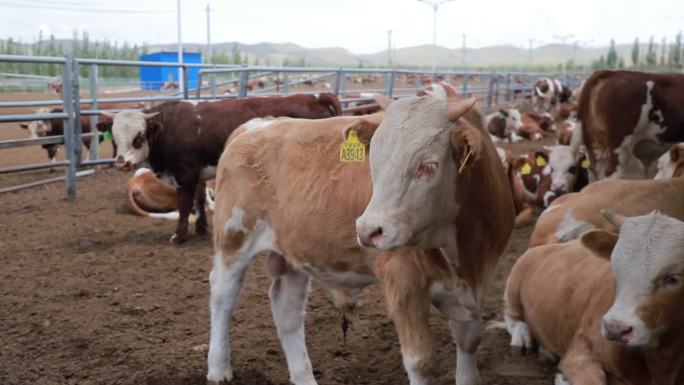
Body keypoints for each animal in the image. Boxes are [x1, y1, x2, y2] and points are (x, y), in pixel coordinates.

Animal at [502, 212, 684, 382]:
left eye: (672, 278)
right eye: (614, 269)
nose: (615, 328)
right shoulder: (579, 350)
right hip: (515, 279)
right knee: (512, 316)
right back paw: (522, 337)